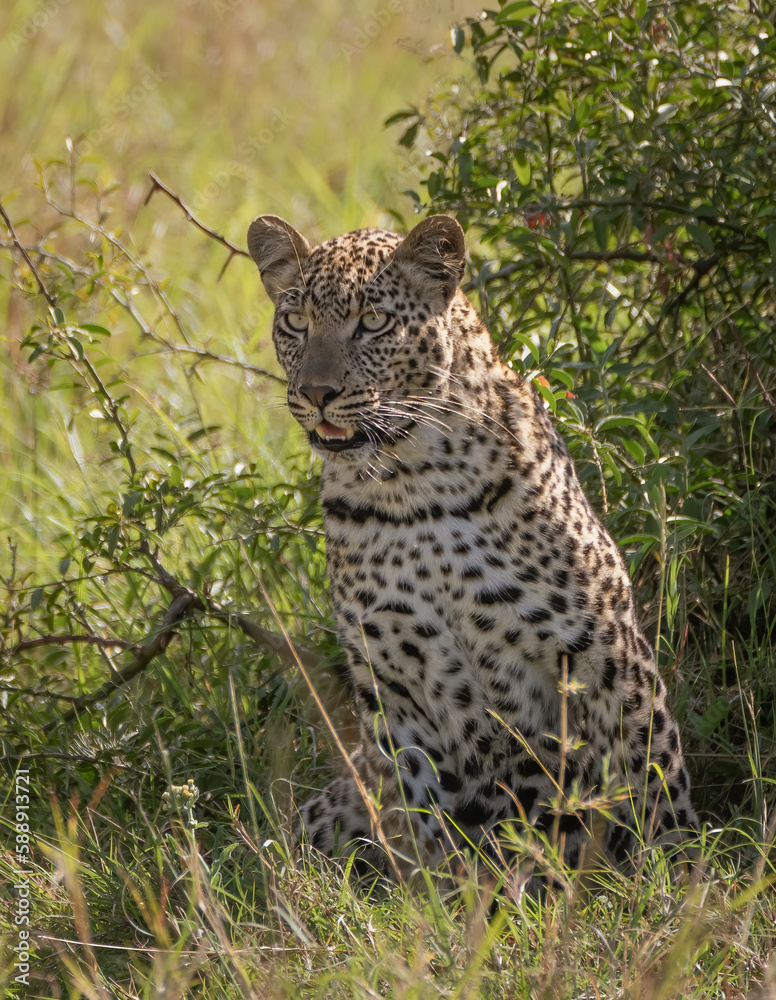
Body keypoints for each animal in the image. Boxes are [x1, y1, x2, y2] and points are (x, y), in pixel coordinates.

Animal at [246, 211, 697, 878]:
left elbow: (651, 775)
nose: (316, 392)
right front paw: (446, 895)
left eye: (373, 322)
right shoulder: (396, 687)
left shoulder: (600, 648)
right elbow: (427, 809)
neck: (408, 484)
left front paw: (677, 878)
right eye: (296, 322)